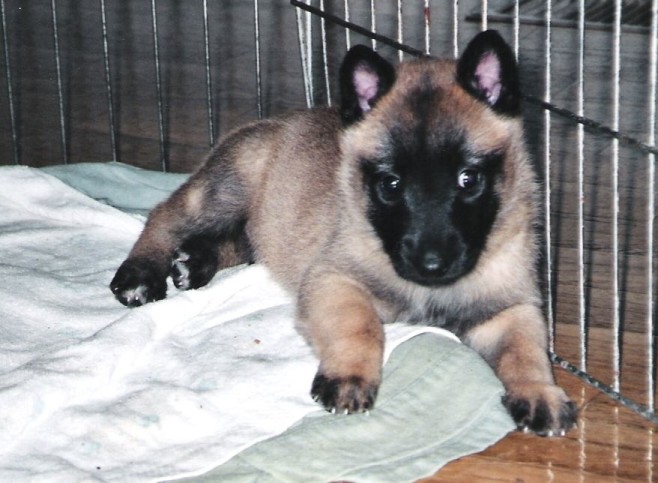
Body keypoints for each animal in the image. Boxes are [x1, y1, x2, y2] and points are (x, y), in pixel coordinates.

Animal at [111, 31, 576, 438]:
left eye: (468, 179)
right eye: (390, 184)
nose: (431, 264)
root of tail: (275, 122)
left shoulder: (510, 309)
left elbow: (527, 351)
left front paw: (540, 392)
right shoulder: (334, 280)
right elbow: (361, 325)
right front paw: (350, 375)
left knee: (242, 243)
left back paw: (195, 262)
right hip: (225, 191)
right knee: (165, 217)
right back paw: (140, 274)